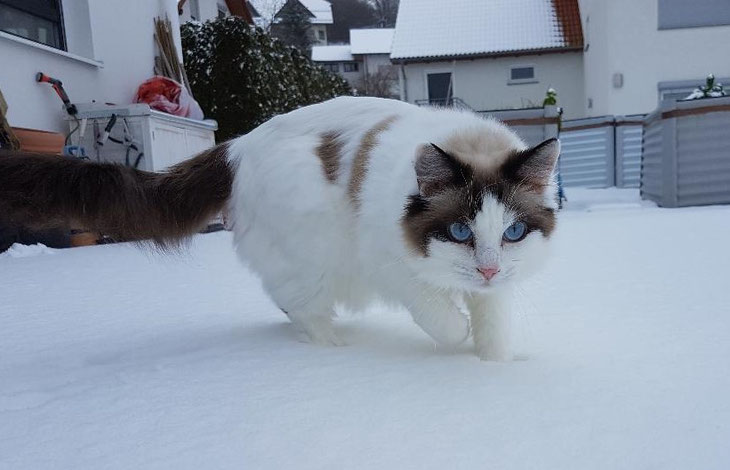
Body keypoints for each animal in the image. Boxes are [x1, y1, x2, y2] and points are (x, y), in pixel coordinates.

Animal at [0, 95, 556, 360]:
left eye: (512, 234)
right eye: (460, 232)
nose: (487, 270)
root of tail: (237, 144)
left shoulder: (497, 288)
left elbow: (492, 329)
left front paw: (491, 369)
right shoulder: (389, 261)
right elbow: (440, 315)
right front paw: (459, 340)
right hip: (318, 251)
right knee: (299, 304)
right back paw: (332, 348)